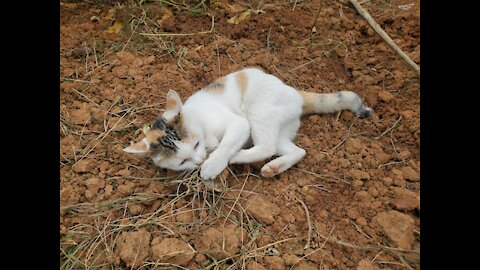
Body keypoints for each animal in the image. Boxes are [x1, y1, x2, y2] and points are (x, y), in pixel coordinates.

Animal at [123, 67, 372, 180]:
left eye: (195, 145)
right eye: (182, 162)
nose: (200, 159)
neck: (202, 124)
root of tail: (296, 93)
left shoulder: (239, 124)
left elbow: (225, 145)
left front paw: (212, 166)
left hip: (258, 113)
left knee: (266, 146)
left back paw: (238, 157)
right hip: (279, 129)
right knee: (298, 151)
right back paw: (274, 167)